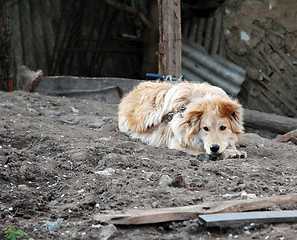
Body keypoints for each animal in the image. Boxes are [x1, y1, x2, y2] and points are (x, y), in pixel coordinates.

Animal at [117, 81, 245, 159]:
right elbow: (203, 149)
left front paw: (233, 150)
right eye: (205, 128)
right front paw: (231, 153)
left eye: (223, 128)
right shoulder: (179, 142)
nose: (214, 148)